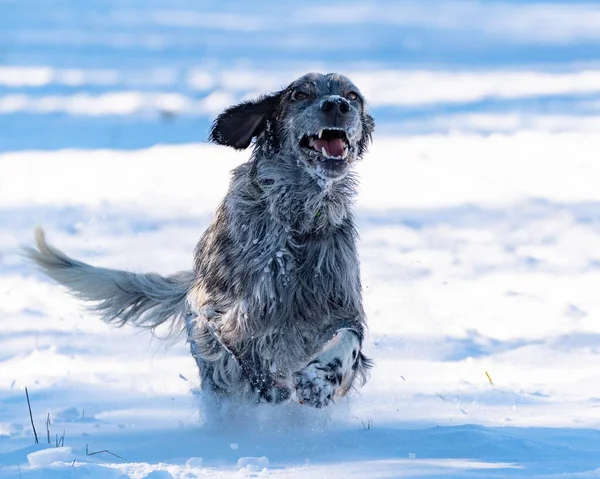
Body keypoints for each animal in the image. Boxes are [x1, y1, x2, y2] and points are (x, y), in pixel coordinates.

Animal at [28, 73, 376, 410]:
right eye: (300, 94)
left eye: (353, 95)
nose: (337, 105)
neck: (296, 221)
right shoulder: (217, 313)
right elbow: (240, 351)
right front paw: (271, 384)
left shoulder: (341, 306)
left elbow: (349, 339)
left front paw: (319, 381)